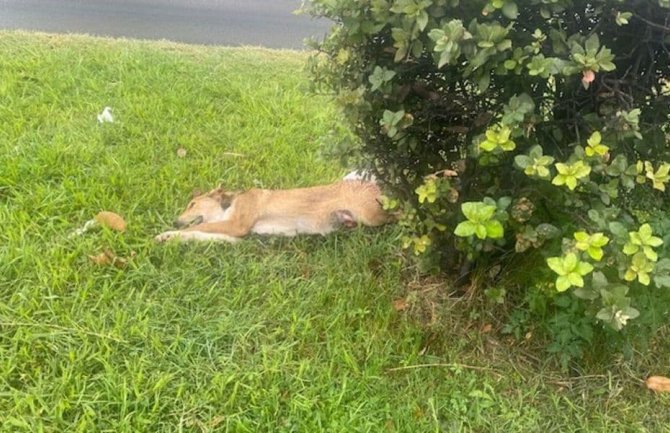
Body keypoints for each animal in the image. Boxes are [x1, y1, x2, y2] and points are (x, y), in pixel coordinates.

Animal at [155, 176, 392, 243]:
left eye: (192, 204)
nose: (175, 220)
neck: (229, 205)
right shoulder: (232, 232)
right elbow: (196, 233)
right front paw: (169, 237)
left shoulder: (236, 225)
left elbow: (195, 228)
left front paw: (167, 233)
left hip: (372, 215)